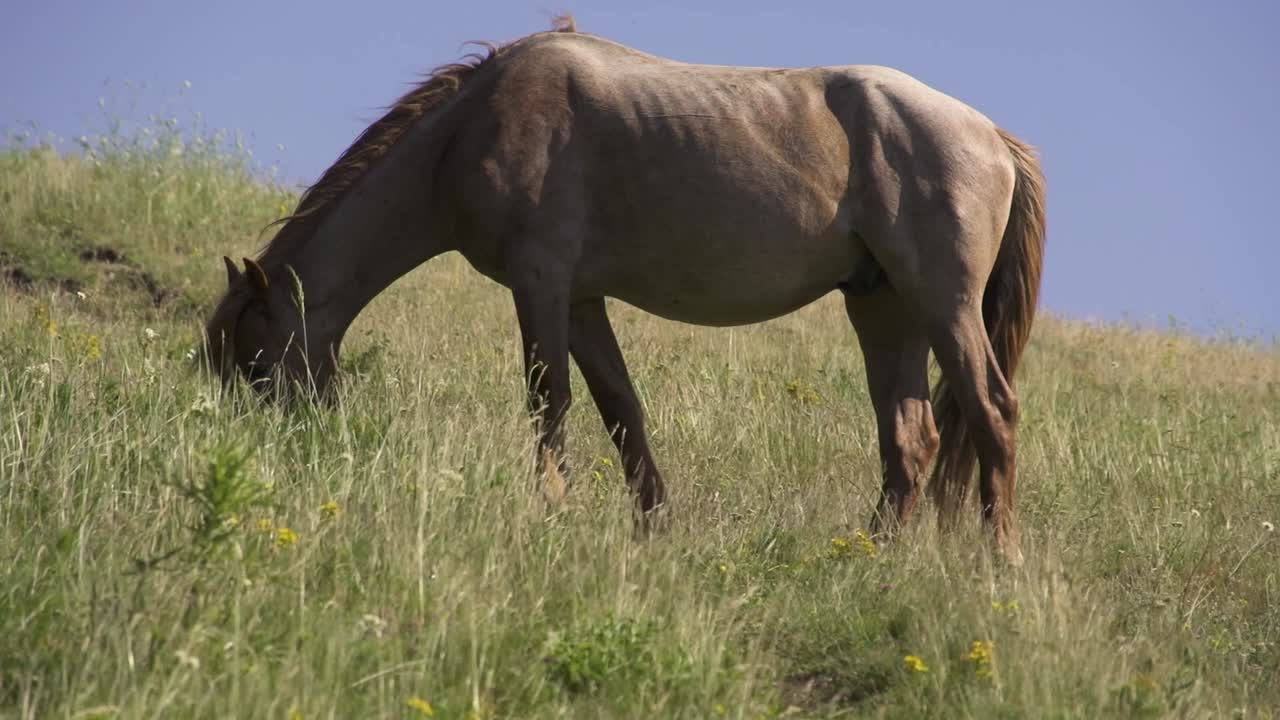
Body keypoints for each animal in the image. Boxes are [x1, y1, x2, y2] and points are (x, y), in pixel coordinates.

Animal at [206, 17, 1045, 563]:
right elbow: (621, 411)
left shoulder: (541, 283)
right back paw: (869, 560)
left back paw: (999, 563)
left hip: (942, 305)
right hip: (883, 308)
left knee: (992, 412)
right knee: (912, 438)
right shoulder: (581, 300)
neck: (474, 127)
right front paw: (652, 527)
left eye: (256, 360)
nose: (274, 455)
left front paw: (552, 506)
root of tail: (993, 137)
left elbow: (548, 398)